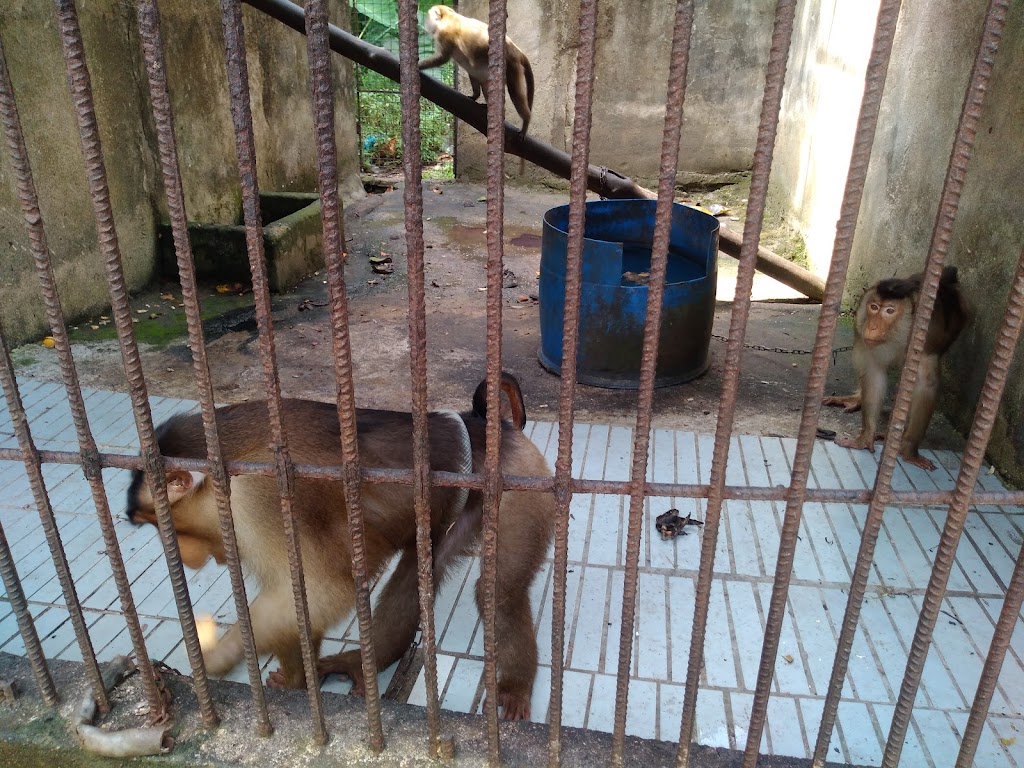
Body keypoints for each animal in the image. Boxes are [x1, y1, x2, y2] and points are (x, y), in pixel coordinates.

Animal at [125, 373, 553, 721]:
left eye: (169, 526)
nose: (183, 555)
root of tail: (491, 426)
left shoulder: (255, 499)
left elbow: (321, 592)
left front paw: (220, 656)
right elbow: (303, 597)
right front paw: (298, 681)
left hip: (521, 483)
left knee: (499, 592)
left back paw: (515, 685)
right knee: (416, 575)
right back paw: (365, 663)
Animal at [419, 5, 534, 174]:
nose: (425, 23)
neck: (449, 17)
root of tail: (515, 48)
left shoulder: (443, 34)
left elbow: (442, 58)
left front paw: (417, 65)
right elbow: (471, 70)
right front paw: (474, 95)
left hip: (512, 65)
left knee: (514, 92)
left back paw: (525, 120)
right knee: (477, 73)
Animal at [823, 265, 970, 471]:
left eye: (890, 311)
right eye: (874, 307)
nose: (872, 327)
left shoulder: (924, 341)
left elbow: (926, 385)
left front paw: (908, 450)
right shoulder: (861, 331)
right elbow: (873, 374)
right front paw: (865, 437)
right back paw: (858, 399)